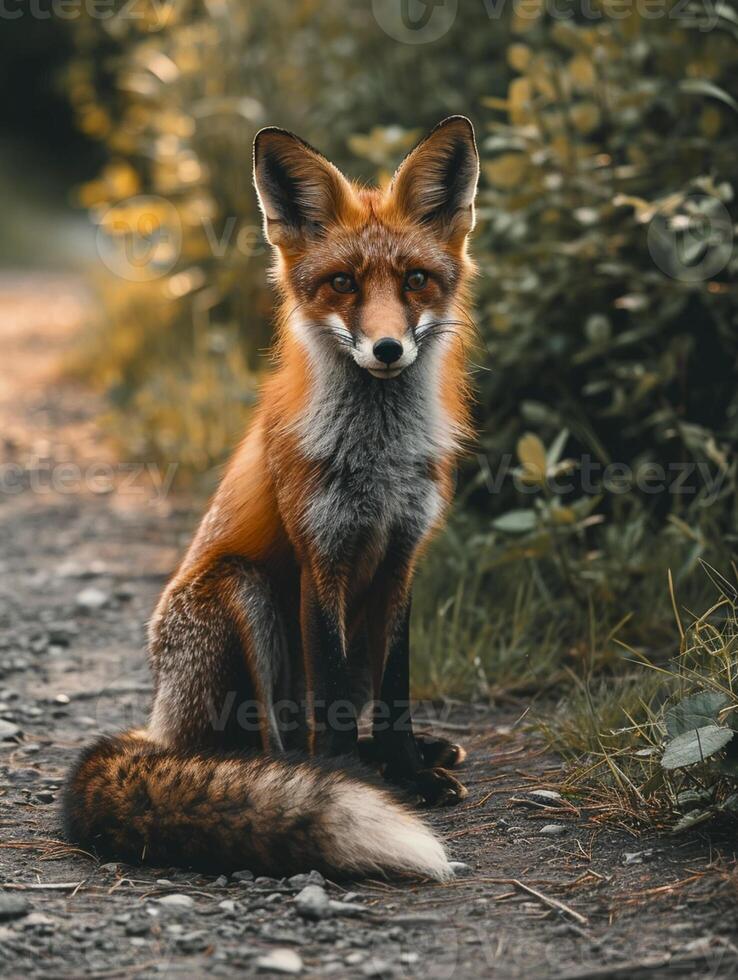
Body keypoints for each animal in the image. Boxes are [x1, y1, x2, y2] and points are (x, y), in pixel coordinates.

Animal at [61, 115, 478, 880]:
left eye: (416, 281)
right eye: (341, 283)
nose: (387, 348)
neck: (377, 462)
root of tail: (161, 726)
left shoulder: (402, 558)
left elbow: (395, 692)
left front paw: (405, 767)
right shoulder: (323, 559)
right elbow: (332, 694)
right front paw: (355, 781)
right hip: (243, 592)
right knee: (272, 748)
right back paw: (308, 777)